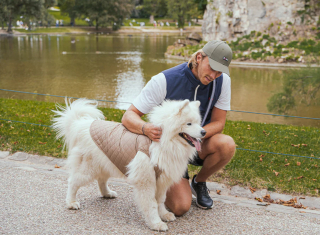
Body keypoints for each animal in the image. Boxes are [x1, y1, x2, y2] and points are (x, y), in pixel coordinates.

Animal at [52, 98, 205, 231]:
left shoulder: (162, 181)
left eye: (198, 123)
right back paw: (71, 202)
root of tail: (82, 125)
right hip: (89, 169)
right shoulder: (146, 181)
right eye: (189, 123)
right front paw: (156, 223)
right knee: (73, 181)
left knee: (101, 180)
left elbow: (160, 201)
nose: (204, 132)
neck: (162, 142)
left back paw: (107, 193)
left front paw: (164, 215)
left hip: (106, 163)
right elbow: (151, 204)